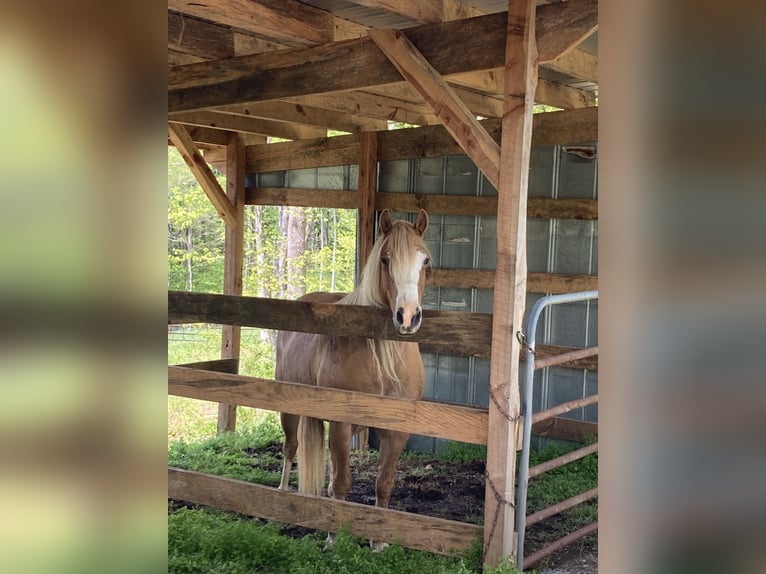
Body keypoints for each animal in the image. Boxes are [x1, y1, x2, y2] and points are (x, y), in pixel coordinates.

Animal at [276, 209, 432, 552]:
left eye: (425, 260)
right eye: (385, 259)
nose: (407, 316)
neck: (382, 360)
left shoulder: (396, 431)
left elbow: (383, 483)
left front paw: (379, 542)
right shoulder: (341, 424)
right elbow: (341, 482)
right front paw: (333, 538)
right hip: (290, 411)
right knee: (290, 448)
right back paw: (280, 497)